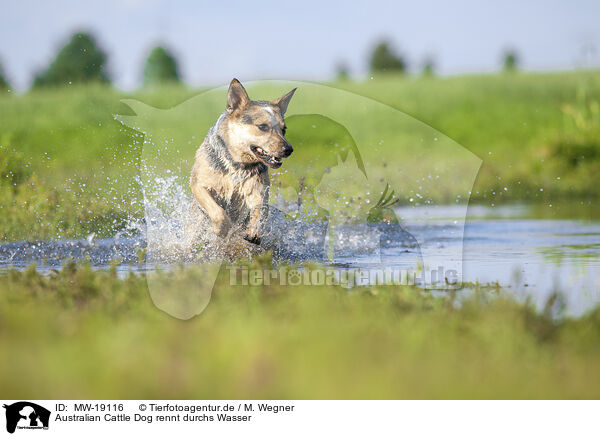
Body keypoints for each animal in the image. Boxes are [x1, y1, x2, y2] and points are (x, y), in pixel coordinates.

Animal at [191, 79, 296, 249]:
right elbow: (217, 210)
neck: (236, 164)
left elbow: (259, 209)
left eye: (284, 129)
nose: (289, 149)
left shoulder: (258, 189)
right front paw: (222, 228)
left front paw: (254, 231)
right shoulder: (198, 184)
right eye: (263, 126)